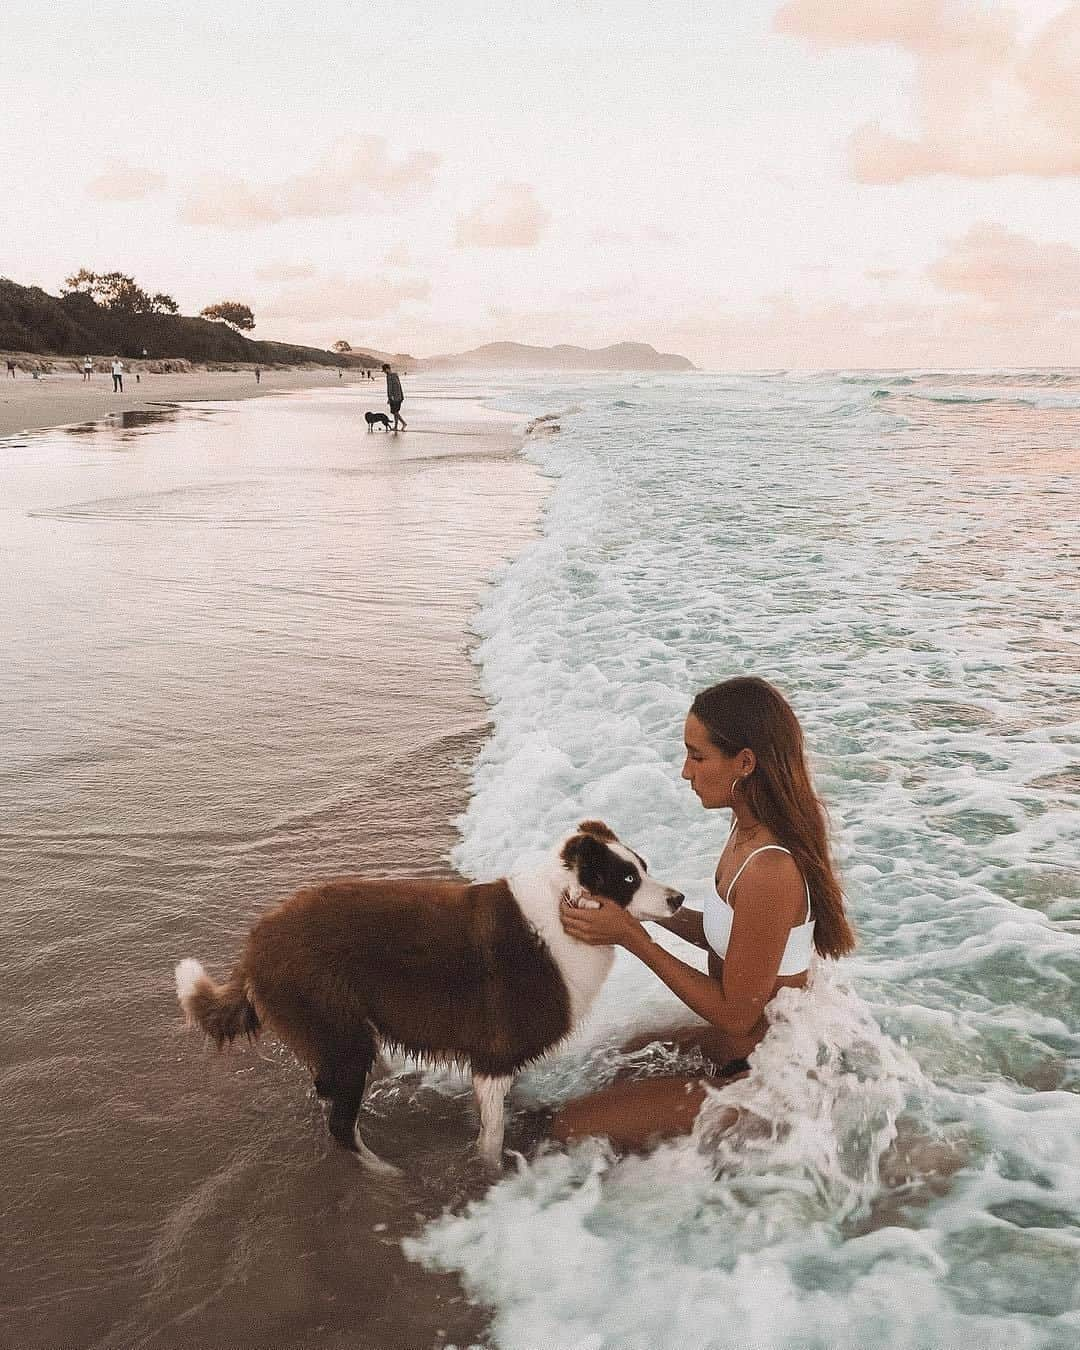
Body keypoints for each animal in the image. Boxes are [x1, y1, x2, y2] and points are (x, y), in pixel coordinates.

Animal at [175, 820, 683, 1171]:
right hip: (343, 1034)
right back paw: (383, 1172)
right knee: (340, 1124)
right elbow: (492, 1137)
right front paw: (491, 1174)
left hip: (331, 1040)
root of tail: (257, 944)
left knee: (327, 1097)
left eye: (643, 868)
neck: (565, 904)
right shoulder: (495, 1055)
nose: (678, 899)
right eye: (627, 880)